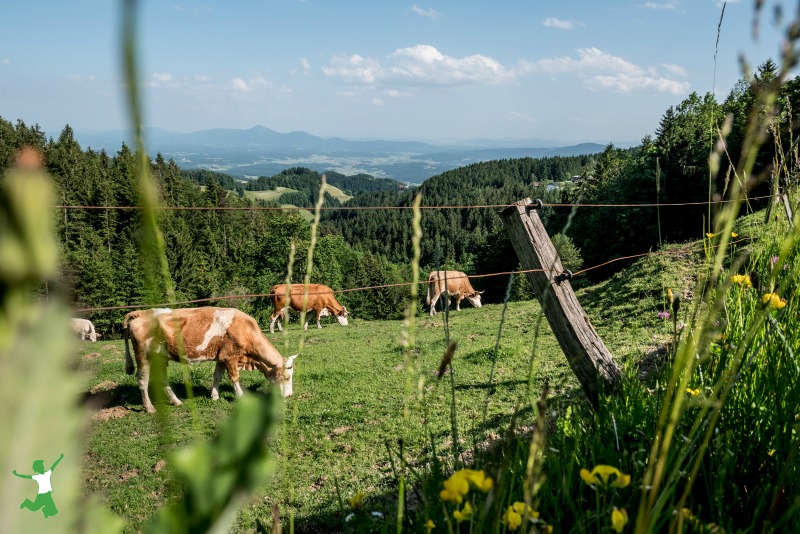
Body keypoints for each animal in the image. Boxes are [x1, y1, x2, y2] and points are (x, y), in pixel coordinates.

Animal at [123, 308, 298, 416]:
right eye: (287, 377)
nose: (290, 395)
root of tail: (142, 312)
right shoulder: (230, 357)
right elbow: (234, 377)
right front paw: (240, 397)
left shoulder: (222, 357)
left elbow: (217, 376)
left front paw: (214, 395)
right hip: (143, 357)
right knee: (142, 380)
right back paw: (149, 407)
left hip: (160, 358)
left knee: (162, 379)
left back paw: (176, 401)